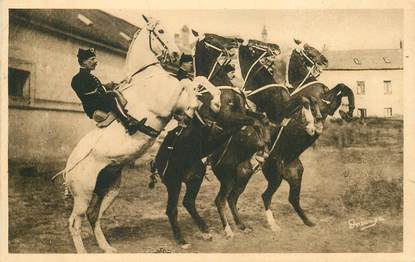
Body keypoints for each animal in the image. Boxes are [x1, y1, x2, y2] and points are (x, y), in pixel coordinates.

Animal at [61, 16, 213, 254]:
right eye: (161, 31)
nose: (176, 54)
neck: (148, 76)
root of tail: (68, 168)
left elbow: (199, 81)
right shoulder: (168, 103)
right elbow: (188, 83)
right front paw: (198, 107)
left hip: (110, 188)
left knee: (94, 216)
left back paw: (107, 248)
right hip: (83, 193)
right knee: (75, 223)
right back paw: (85, 251)